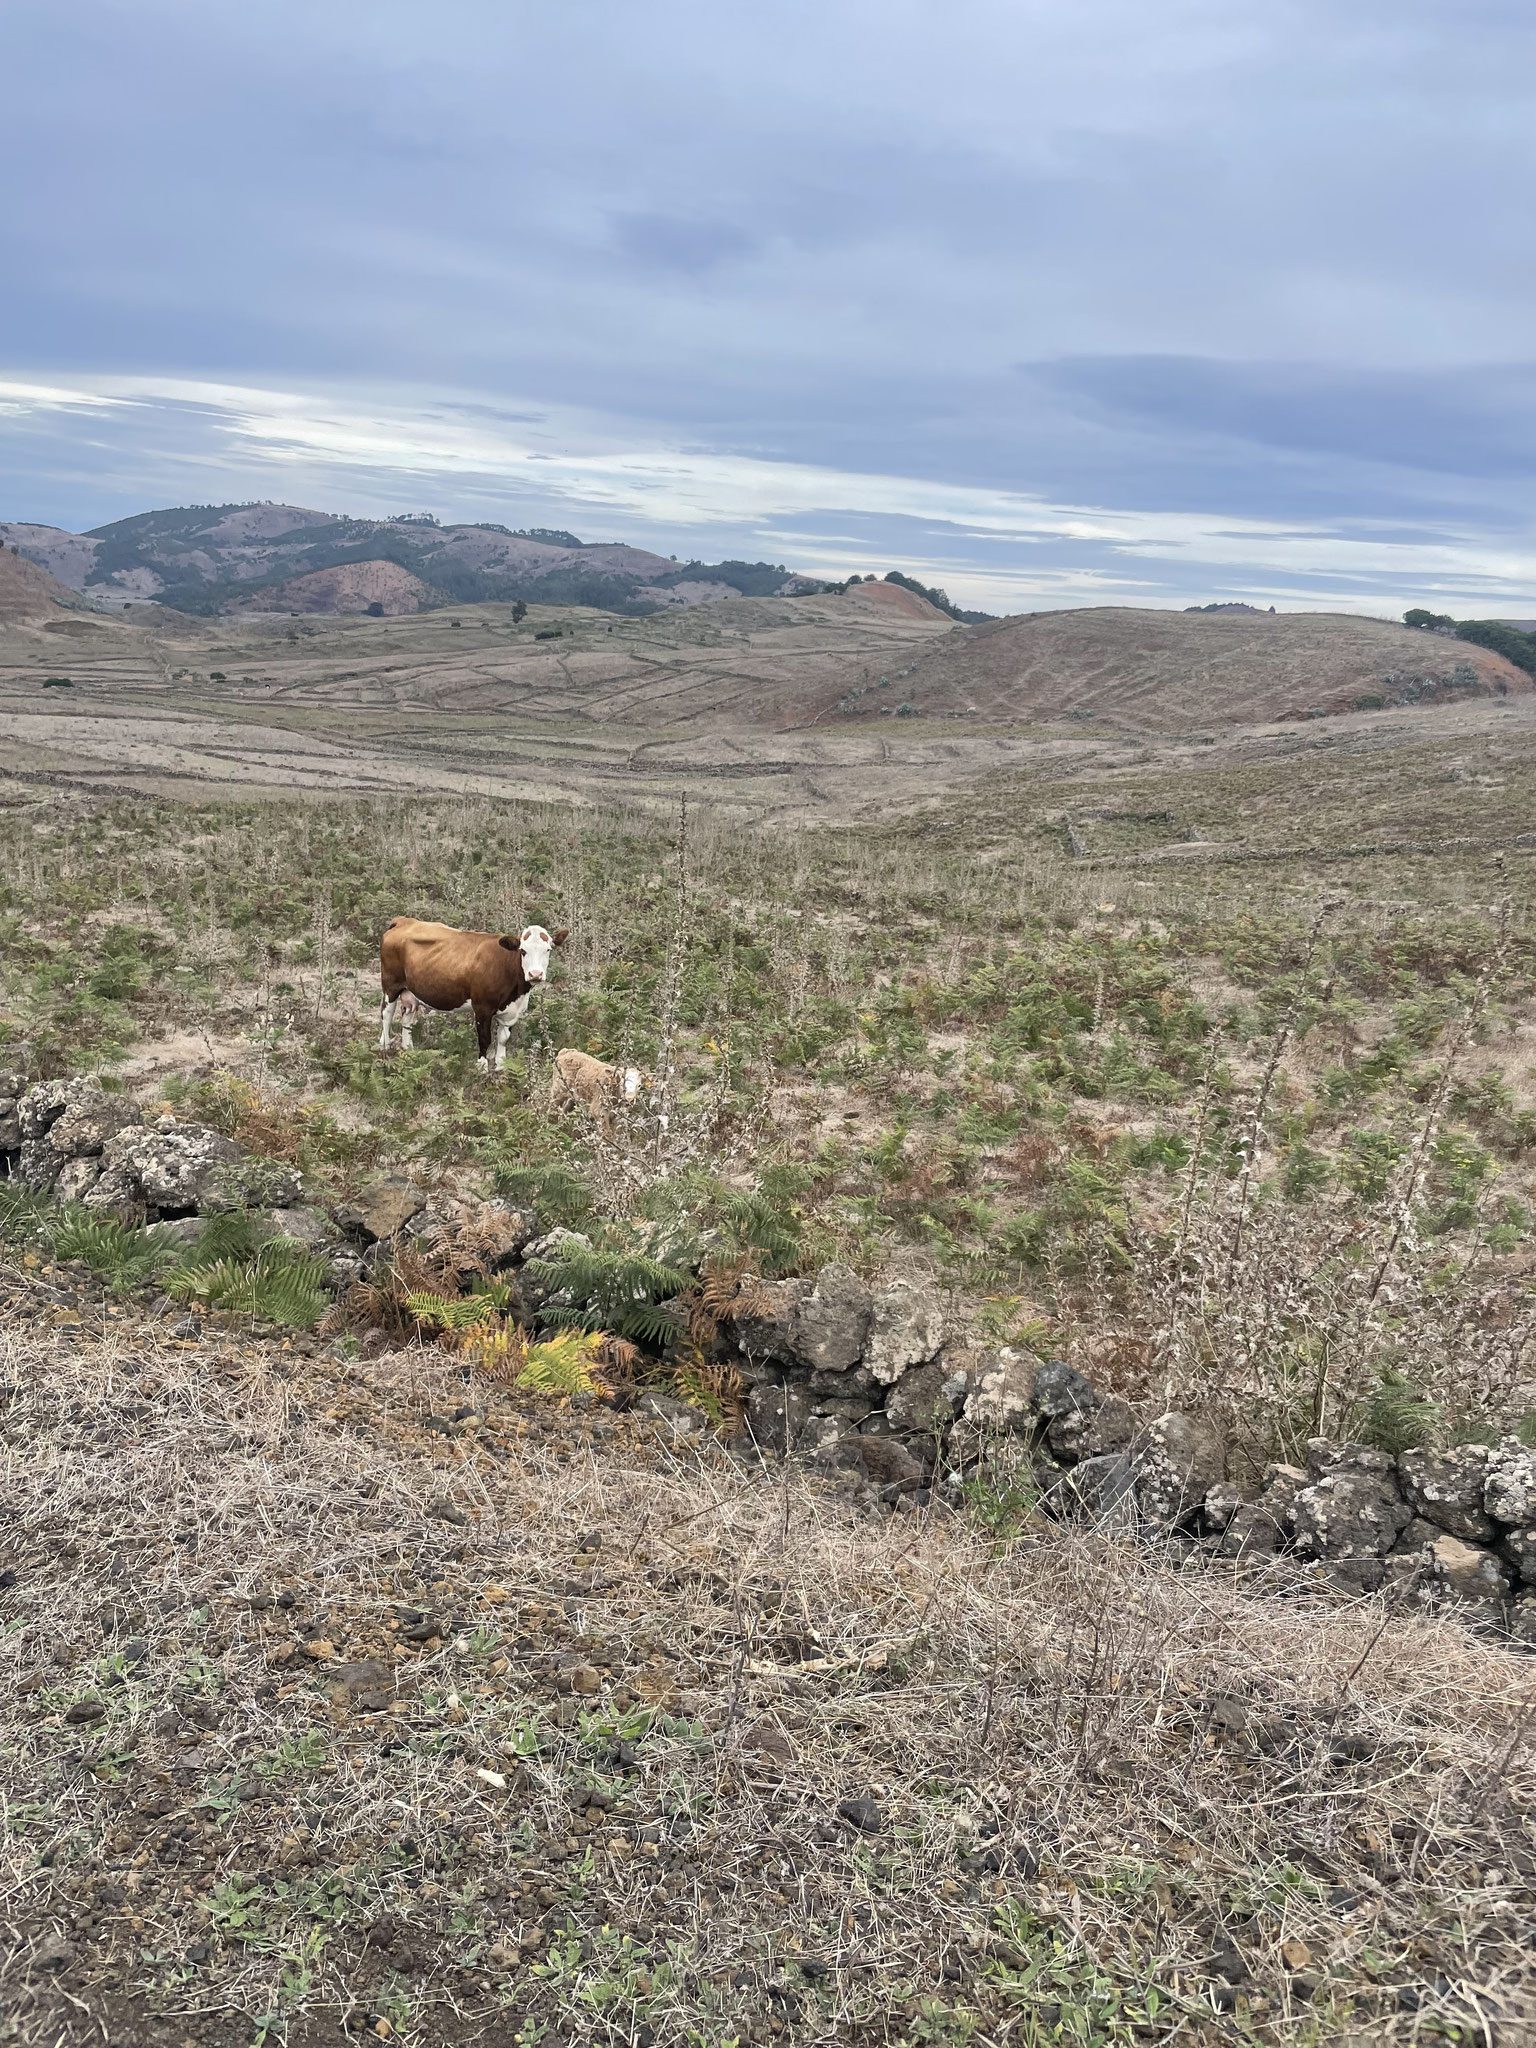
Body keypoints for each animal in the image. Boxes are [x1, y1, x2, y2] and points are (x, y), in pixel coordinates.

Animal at [378, 917, 568, 1072]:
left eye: (548, 950)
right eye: (523, 951)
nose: (535, 974)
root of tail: (404, 921)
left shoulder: (512, 1011)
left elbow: (503, 1039)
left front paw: (501, 1066)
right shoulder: (482, 1008)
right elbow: (485, 1039)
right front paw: (482, 1068)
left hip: (411, 992)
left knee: (407, 1018)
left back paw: (408, 1050)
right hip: (390, 985)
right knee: (386, 1015)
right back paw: (385, 1047)